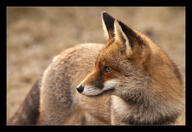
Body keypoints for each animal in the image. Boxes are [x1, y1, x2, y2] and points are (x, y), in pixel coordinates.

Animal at [7, 11, 184, 126]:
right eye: (96, 66)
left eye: (107, 69)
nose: (78, 88)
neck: (147, 113)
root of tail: (60, 54)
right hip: (54, 119)